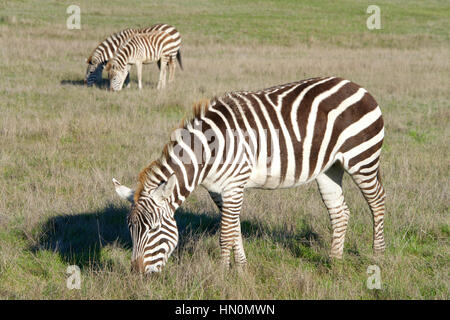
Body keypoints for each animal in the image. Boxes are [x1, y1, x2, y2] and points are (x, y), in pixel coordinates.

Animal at [112, 77, 386, 272]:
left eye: (154, 228)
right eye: (131, 229)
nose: (136, 272)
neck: (209, 152)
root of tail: (355, 85)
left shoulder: (234, 184)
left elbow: (225, 234)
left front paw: (222, 274)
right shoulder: (218, 190)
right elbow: (234, 229)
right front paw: (242, 268)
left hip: (362, 159)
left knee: (377, 202)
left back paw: (377, 256)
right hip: (329, 168)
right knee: (340, 212)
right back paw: (334, 261)